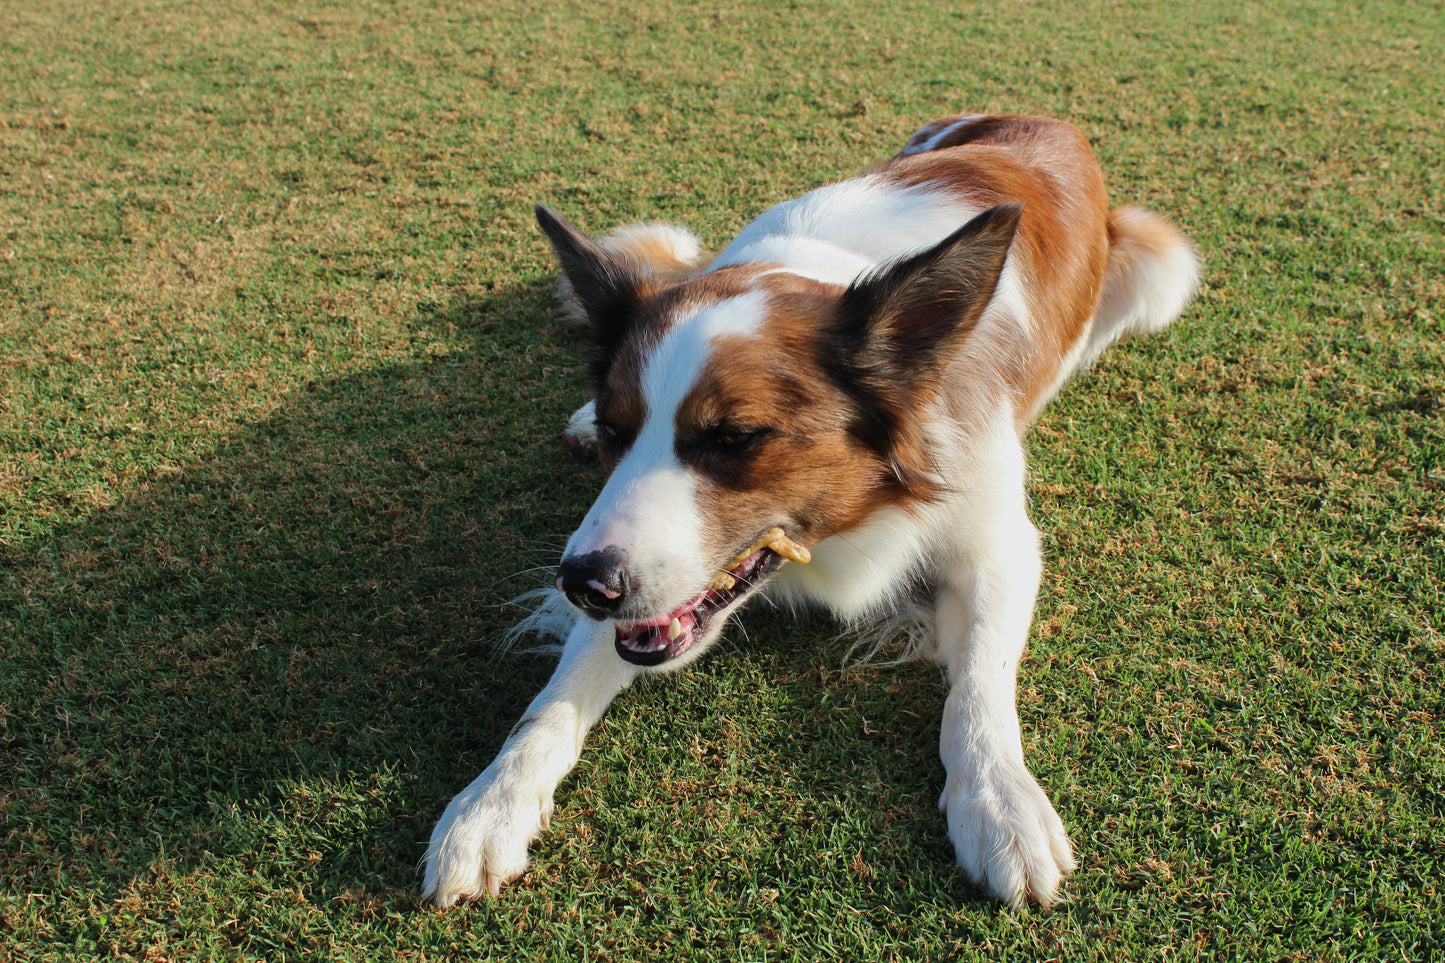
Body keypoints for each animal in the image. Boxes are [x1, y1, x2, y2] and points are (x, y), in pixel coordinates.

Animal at [421, 112, 1202, 908]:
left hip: (1161, 268)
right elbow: (555, 697)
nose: (582, 583)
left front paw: (999, 800)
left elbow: (981, 682)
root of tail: (1043, 120)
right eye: (618, 429)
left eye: (734, 437)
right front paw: (490, 803)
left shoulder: (998, 542)